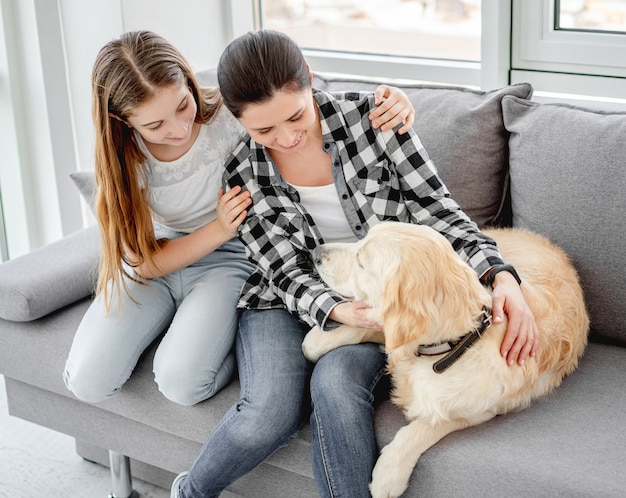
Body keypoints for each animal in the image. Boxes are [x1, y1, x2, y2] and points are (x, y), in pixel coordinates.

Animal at [300, 223, 588, 498]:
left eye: (361, 260)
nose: (315, 253)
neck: (455, 342)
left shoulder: (475, 411)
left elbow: (421, 428)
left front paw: (388, 473)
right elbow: (378, 329)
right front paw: (317, 341)